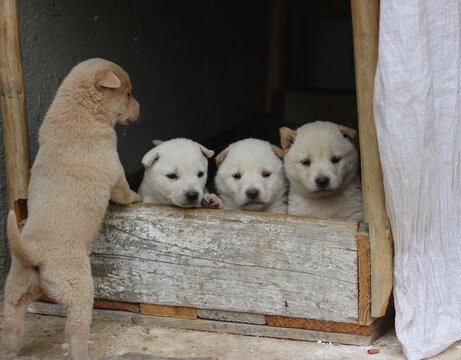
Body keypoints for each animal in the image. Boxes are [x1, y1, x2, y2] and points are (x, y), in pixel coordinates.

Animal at [0, 59, 141, 360]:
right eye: (127, 93)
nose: (140, 108)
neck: (81, 112)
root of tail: (34, 255)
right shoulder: (115, 171)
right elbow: (124, 192)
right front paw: (136, 198)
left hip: (16, 286)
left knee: (12, 321)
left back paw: (11, 350)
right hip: (79, 288)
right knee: (75, 329)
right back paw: (82, 353)